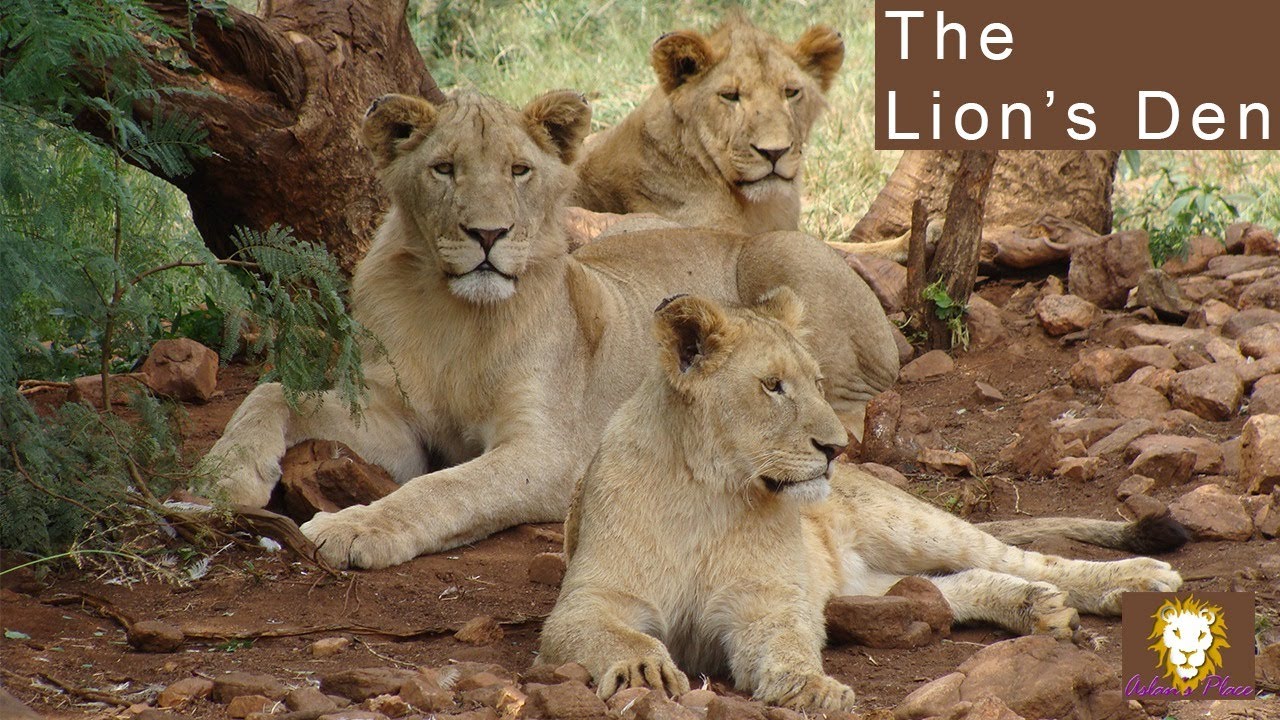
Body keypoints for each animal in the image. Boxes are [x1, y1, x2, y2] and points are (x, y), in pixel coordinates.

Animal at [201, 88, 901, 569]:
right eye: (444, 168)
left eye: (519, 170)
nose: (488, 234)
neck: (456, 316)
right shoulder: (391, 423)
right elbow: (271, 392)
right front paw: (222, 478)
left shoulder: (546, 453)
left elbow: (445, 488)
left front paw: (354, 529)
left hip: (778, 257)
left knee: (854, 410)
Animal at [538, 292, 1185, 715]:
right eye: (772, 386)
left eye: (818, 383)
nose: (836, 447)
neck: (710, 491)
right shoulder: (588, 601)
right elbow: (620, 635)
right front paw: (644, 670)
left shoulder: (767, 601)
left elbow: (787, 641)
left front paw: (810, 688)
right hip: (861, 585)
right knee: (950, 588)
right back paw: (1038, 608)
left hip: (908, 522)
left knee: (1025, 558)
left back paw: (1135, 582)